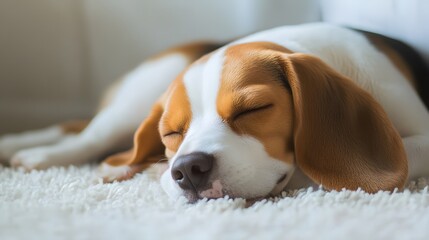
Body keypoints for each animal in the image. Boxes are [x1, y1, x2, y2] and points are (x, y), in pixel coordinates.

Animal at [0, 23, 428, 202]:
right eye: (171, 133)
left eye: (254, 109)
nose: (188, 170)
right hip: (140, 96)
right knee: (88, 135)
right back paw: (32, 150)